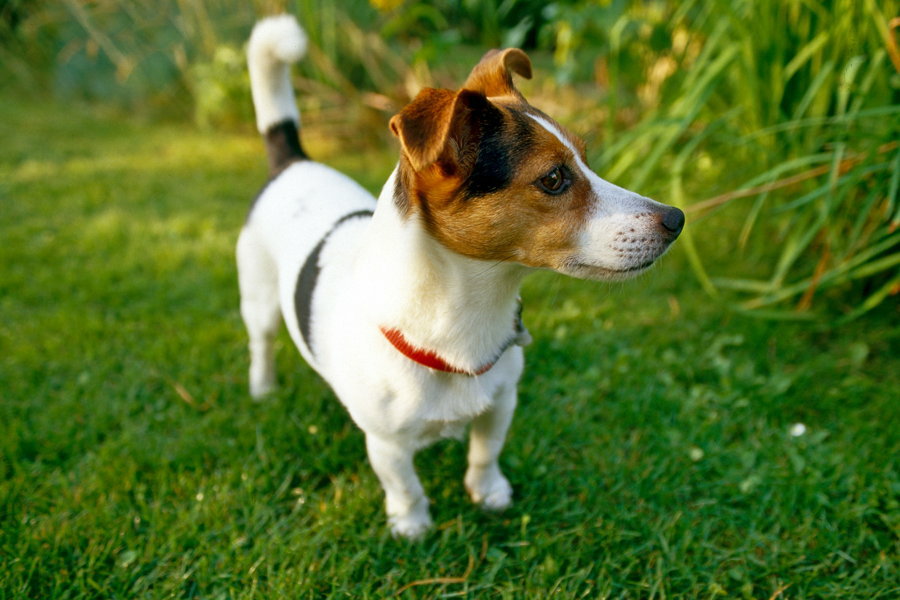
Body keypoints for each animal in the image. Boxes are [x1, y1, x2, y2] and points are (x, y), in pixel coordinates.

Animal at [239, 15, 684, 540]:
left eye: (586, 159)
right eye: (554, 178)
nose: (677, 219)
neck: (465, 318)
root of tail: (293, 162)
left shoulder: (501, 401)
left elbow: (484, 454)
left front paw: (488, 494)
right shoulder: (387, 443)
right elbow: (405, 485)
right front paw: (412, 525)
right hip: (259, 300)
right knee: (262, 342)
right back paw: (262, 389)